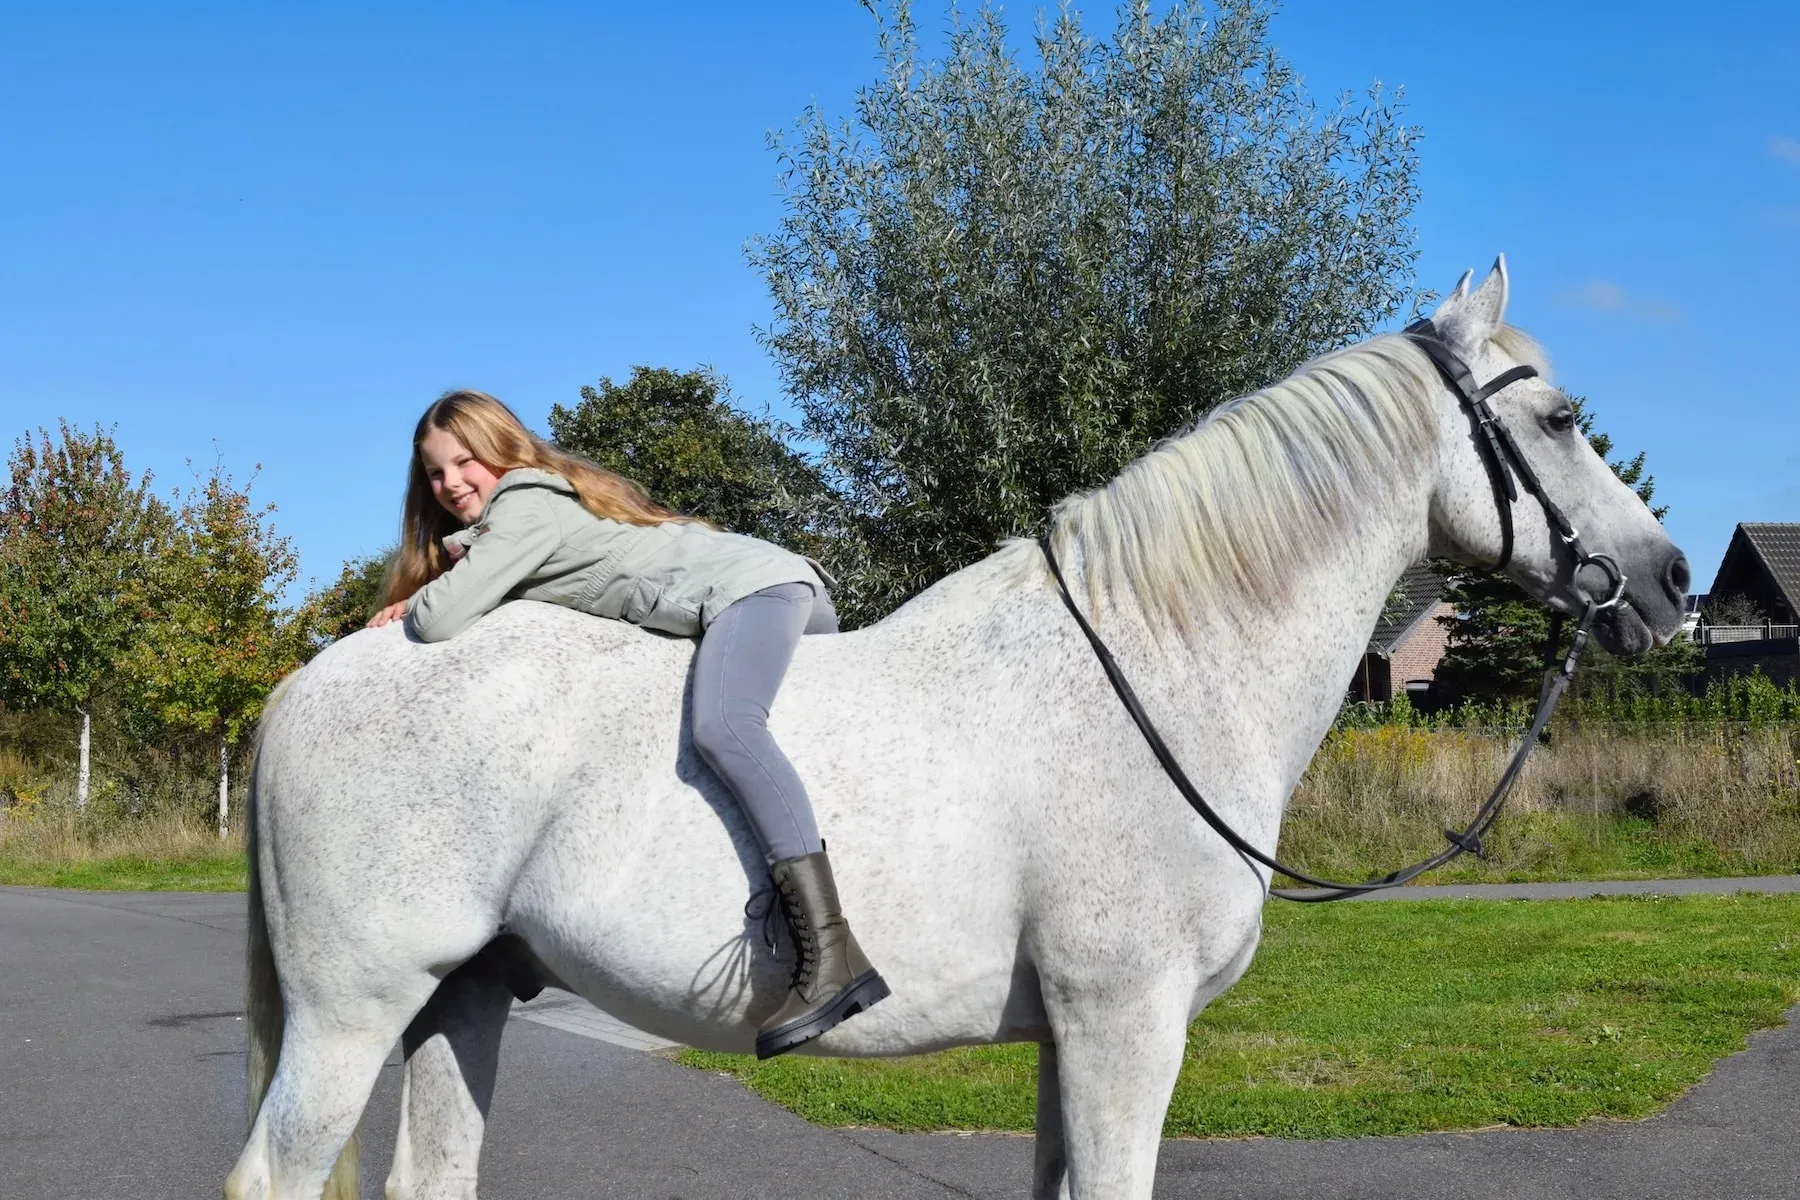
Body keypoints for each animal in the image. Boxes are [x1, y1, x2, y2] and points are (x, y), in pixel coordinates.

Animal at [225, 259, 1688, 1200]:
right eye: (1559, 418)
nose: (1667, 583)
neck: (1158, 672)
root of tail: (308, 685)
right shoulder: (1124, 1028)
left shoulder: (1070, 1044)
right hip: (353, 1010)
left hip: (460, 995)